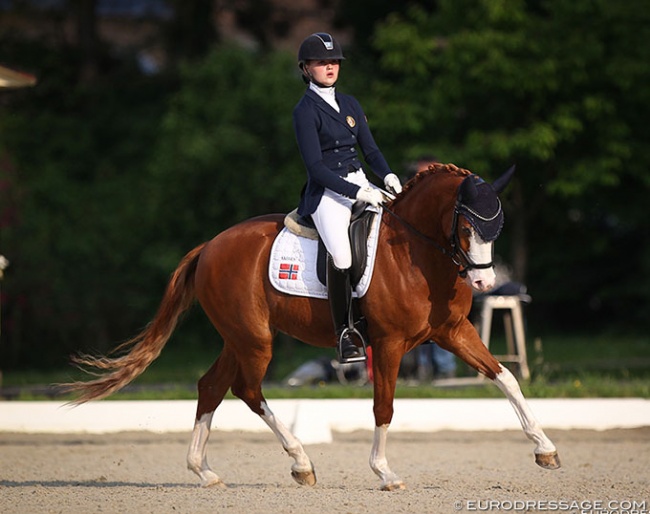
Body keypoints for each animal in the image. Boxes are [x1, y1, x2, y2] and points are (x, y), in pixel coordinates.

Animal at [67, 163, 560, 488]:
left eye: (497, 226)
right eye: (466, 226)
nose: (484, 283)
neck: (418, 253)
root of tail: (210, 245)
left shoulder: (454, 332)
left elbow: (506, 377)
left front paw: (545, 449)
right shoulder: (389, 343)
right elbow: (384, 406)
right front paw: (384, 472)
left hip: (240, 338)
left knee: (211, 387)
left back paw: (204, 471)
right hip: (255, 340)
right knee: (247, 390)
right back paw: (300, 462)